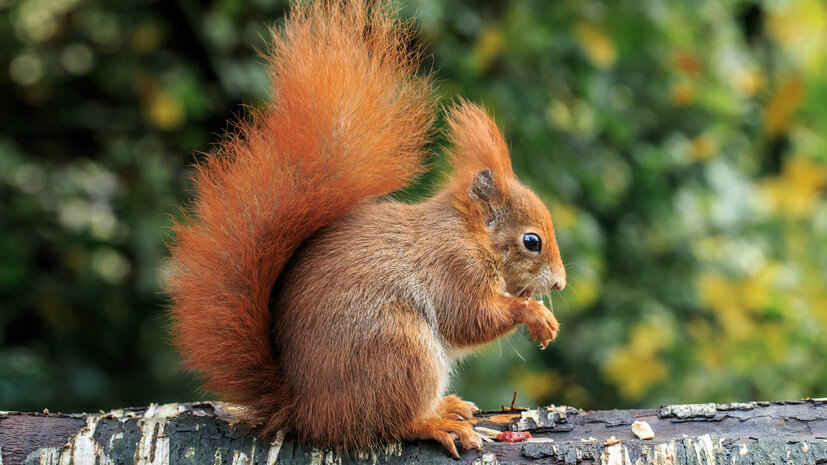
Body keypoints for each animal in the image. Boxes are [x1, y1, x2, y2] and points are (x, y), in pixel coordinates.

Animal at [168, 0, 568, 456]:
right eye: (532, 241)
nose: (560, 283)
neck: (471, 234)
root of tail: (306, 410)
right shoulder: (453, 268)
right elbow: (471, 318)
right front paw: (536, 314)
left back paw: (447, 406)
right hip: (399, 349)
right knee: (391, 422)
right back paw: (437, 423)